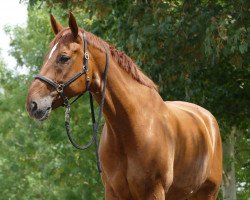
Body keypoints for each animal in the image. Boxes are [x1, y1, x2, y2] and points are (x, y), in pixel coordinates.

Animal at [26, 13, 223, 199]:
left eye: (63, 57)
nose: (32, 104)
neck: (132, 127)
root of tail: (207, 118)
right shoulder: (113, 192)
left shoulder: (153, 192)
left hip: (208, 193)